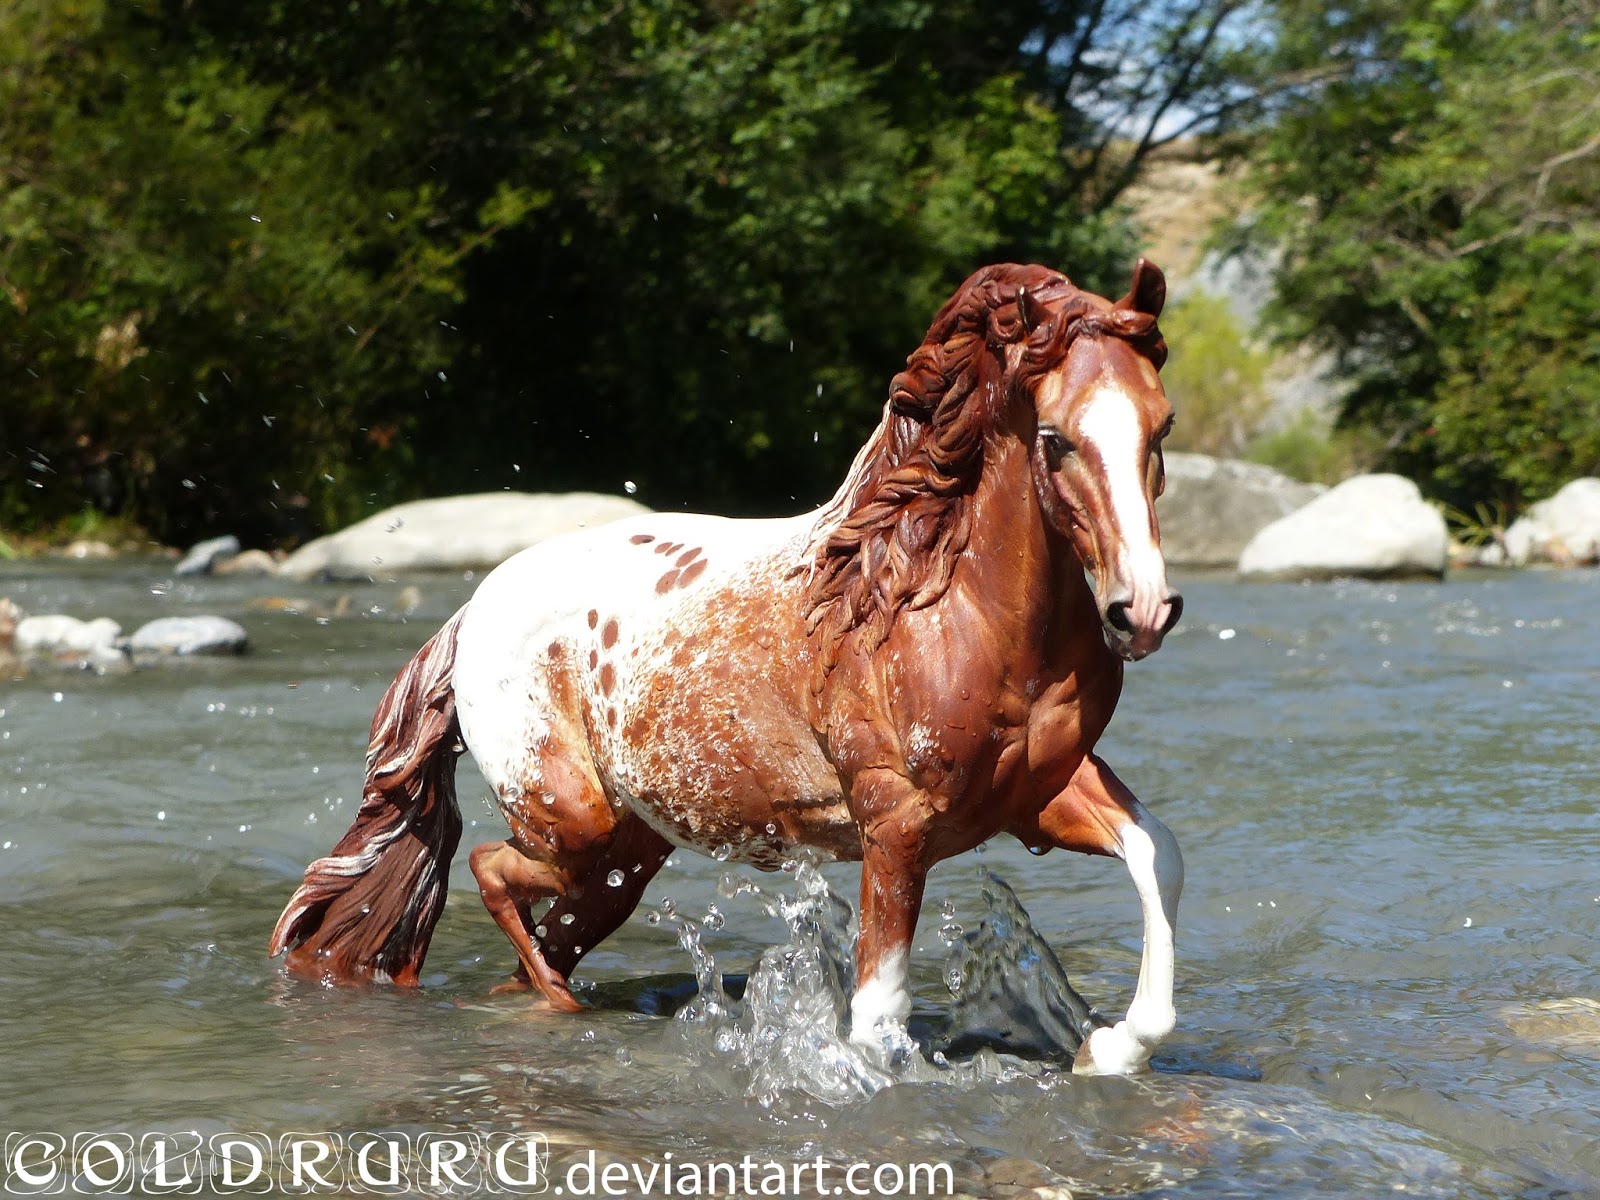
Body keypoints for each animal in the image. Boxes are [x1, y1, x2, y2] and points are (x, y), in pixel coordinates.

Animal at [268, 262, 1184, 1081]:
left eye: (1162, 426)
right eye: (1055, 437)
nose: (1140, 611)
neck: (942, 605)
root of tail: (470, 612)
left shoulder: (1036, 796)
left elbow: (1158, 853)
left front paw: (1112, 1048)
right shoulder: (897, 826)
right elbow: (877, 1012)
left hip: (624, 856)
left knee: (541, 925)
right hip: (574, 828)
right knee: (494, 872)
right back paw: (557, 1011)